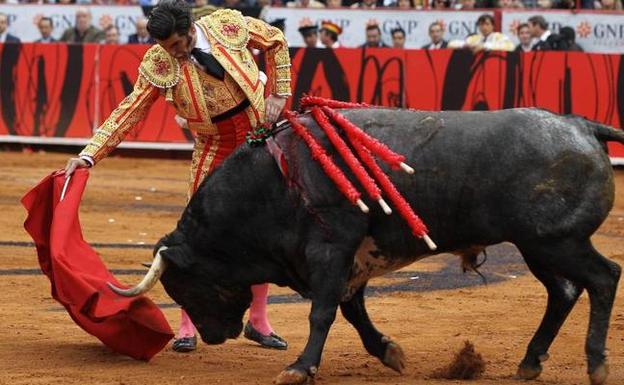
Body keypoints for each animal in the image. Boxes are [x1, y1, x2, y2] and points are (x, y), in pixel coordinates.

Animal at [118, 108, 624, 384]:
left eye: (184, 285)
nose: (212, 336)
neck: (276, 180)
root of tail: (580, 125)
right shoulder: (351, 260)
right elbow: (352, 311)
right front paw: (389, 352)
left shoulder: (330, 249)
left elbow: (322, 312)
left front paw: (300, 367)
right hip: (537, 246)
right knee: (563, 292)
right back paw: (530, 362)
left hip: (557, 241)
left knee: (604, 277)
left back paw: (596, 364)